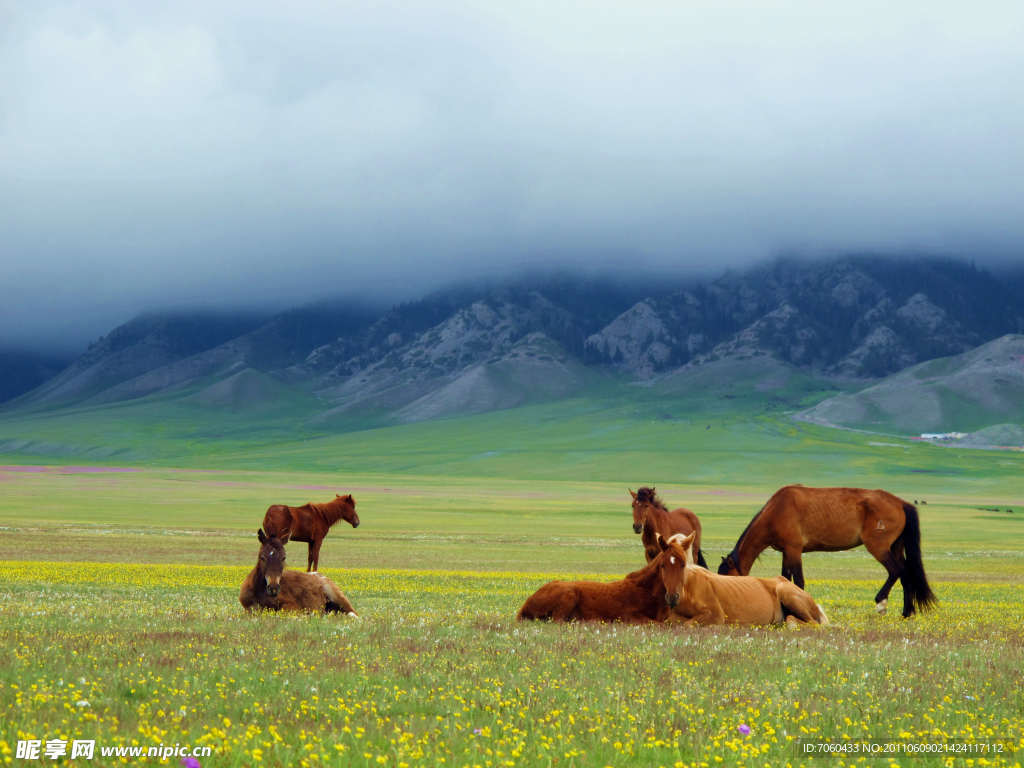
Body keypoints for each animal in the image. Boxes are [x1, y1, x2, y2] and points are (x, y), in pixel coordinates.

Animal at [655, 532, 831, 626]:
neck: (689, 590)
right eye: (662, 565)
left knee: (810, 623)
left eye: (683, 564)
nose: (672, 597)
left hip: (787, 593)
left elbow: (688, 624)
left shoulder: (715, 614)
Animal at [716, 487, 937, 618]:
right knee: (906, 574)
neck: (776, 511)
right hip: (895, 546)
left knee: (897, 570)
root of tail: (900, 503)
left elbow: (798, 580)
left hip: (879, 547)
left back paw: (881, 603)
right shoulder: (786, 552)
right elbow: (785, 578)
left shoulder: (794, 550)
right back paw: (907, 612)